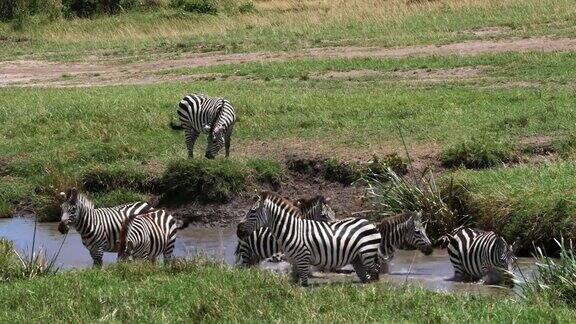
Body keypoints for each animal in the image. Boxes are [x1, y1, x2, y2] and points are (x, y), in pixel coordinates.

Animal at [236, 191, 380, 288]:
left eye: (252, 212)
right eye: (324, 216)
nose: (238, 231)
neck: (292, 230)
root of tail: (370, 222)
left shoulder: (303, 259)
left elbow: (303, 283)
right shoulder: (294, 261)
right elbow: (295, 280)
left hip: (366, 254)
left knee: (374, 272)